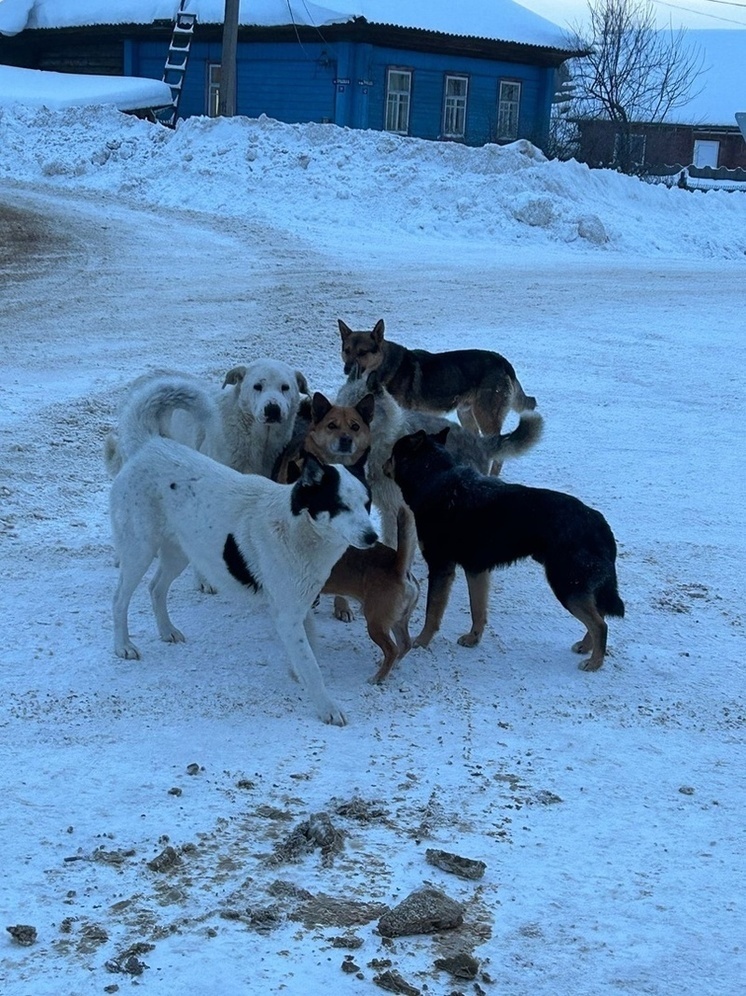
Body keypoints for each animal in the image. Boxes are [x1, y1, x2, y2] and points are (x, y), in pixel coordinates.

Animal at [109, 374, 378, 724]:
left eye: (366, 504)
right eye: (340, 505)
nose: (373, 537)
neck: (298, 527)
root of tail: (149, 445)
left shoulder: (300, 606)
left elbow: (309, 651)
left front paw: (300, 676)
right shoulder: (287, 614)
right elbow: (311, 665)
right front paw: (327, 708)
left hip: (181, 550)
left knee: (156, 588)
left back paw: (167, 631)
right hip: (139, 550)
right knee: (120, 600)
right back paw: (123, 646)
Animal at [338, 320, 536, 444]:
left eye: (362, 352)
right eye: (346, 350)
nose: (347, 369)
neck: (385, 367)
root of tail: (504, 362)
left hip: (485, 416)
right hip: (466, 414)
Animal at [384, 426, 620, 668]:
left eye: (392, 454)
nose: (382, 464)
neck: (435, 478)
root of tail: (599, 523)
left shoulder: (441, 567)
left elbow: (432, 611)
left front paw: (421, 641)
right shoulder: (476, 570)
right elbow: (478, 610)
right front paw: (473, 638)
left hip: (566, 584)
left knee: (600, 624)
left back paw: (594, 662)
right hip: (574, 584)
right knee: (599, 615)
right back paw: (586, 647)